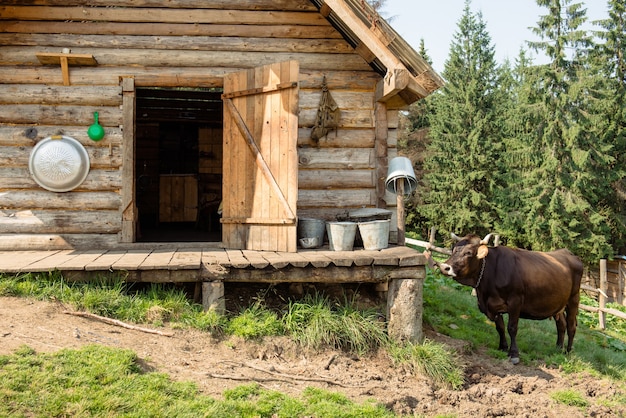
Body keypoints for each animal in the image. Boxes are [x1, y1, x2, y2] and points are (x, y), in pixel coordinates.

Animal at [434, 233, 580, 364]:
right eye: (454, 249)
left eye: (468, 253)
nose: (444, 267)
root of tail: (567, 252)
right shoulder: (493, 305)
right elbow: (500, 327)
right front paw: (503, 347)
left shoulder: (515, 302)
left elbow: (512, 327)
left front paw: (514, 353)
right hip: (558, 304)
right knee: (561, 325)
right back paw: (558, 348)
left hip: (574, 299)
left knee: (571, 326)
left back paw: (568, 351)